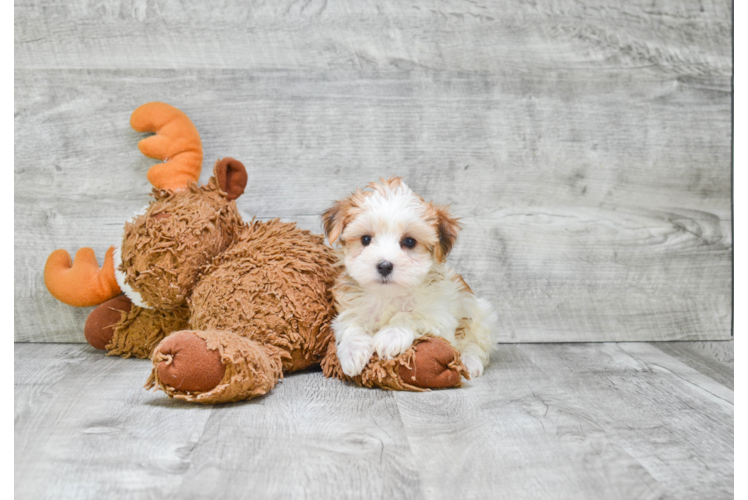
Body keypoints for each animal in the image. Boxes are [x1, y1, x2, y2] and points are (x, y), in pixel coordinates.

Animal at [322, 178, 496, 380]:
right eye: (365, 239)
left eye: (410, 242)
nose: (384, 265)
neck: (388, 294)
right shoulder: (349, 310)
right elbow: (351, 324)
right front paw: (352, 352)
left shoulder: (439, 318)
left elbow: (410, 315)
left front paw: (390, 336)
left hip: (481, 316)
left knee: (475, 345)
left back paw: (470, 362)